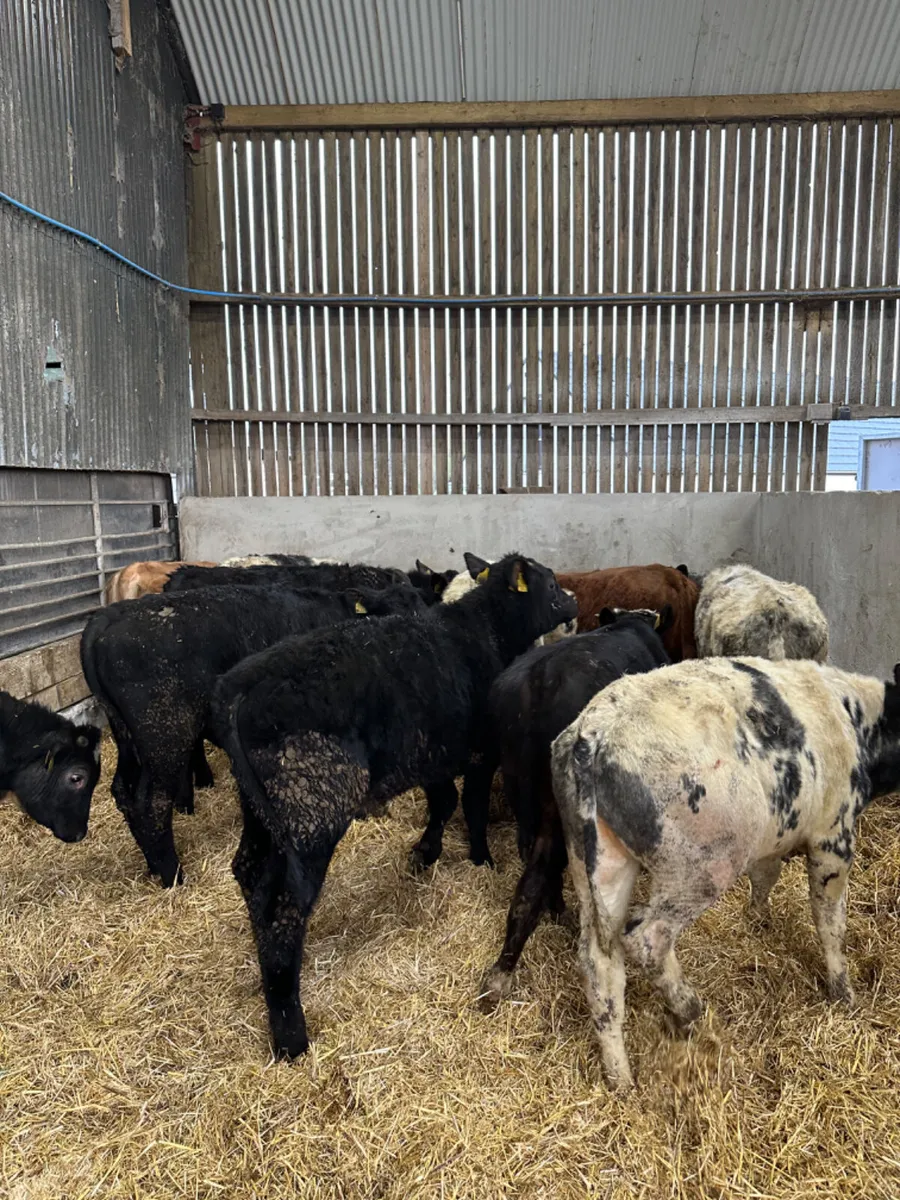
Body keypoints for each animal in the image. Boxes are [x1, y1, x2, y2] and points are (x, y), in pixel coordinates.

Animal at [80, 582, 423, 887]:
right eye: (394, 617)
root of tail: (108, 616)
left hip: (128, 738)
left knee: (123, 791)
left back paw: (153, 865)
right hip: (164, 734)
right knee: (153, 803)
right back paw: (173, 876)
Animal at [211, 553, 578, 1058]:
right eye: (551, 584)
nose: (574, 603)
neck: (487, 632)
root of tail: (237, 693)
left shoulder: (433, 753)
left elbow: (443, 802)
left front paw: (425, 853)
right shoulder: (479, 750)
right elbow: (472, 805)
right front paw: (481, 857)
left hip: (259, 810)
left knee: (250, 873)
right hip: (310, 812)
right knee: (286, 906)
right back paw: (290, 1030)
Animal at [551, 656, 900, 1091]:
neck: (858, 719)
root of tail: (593, 735)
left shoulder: (774, 836)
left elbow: (766, 876)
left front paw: (758, 918)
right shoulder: (832, 833)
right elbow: (830, 920)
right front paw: (844, 994)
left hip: (596, 861)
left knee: (599, 959)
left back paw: (621, 1079)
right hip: (702, 862)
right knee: (646, 938)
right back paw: (689, 1008)